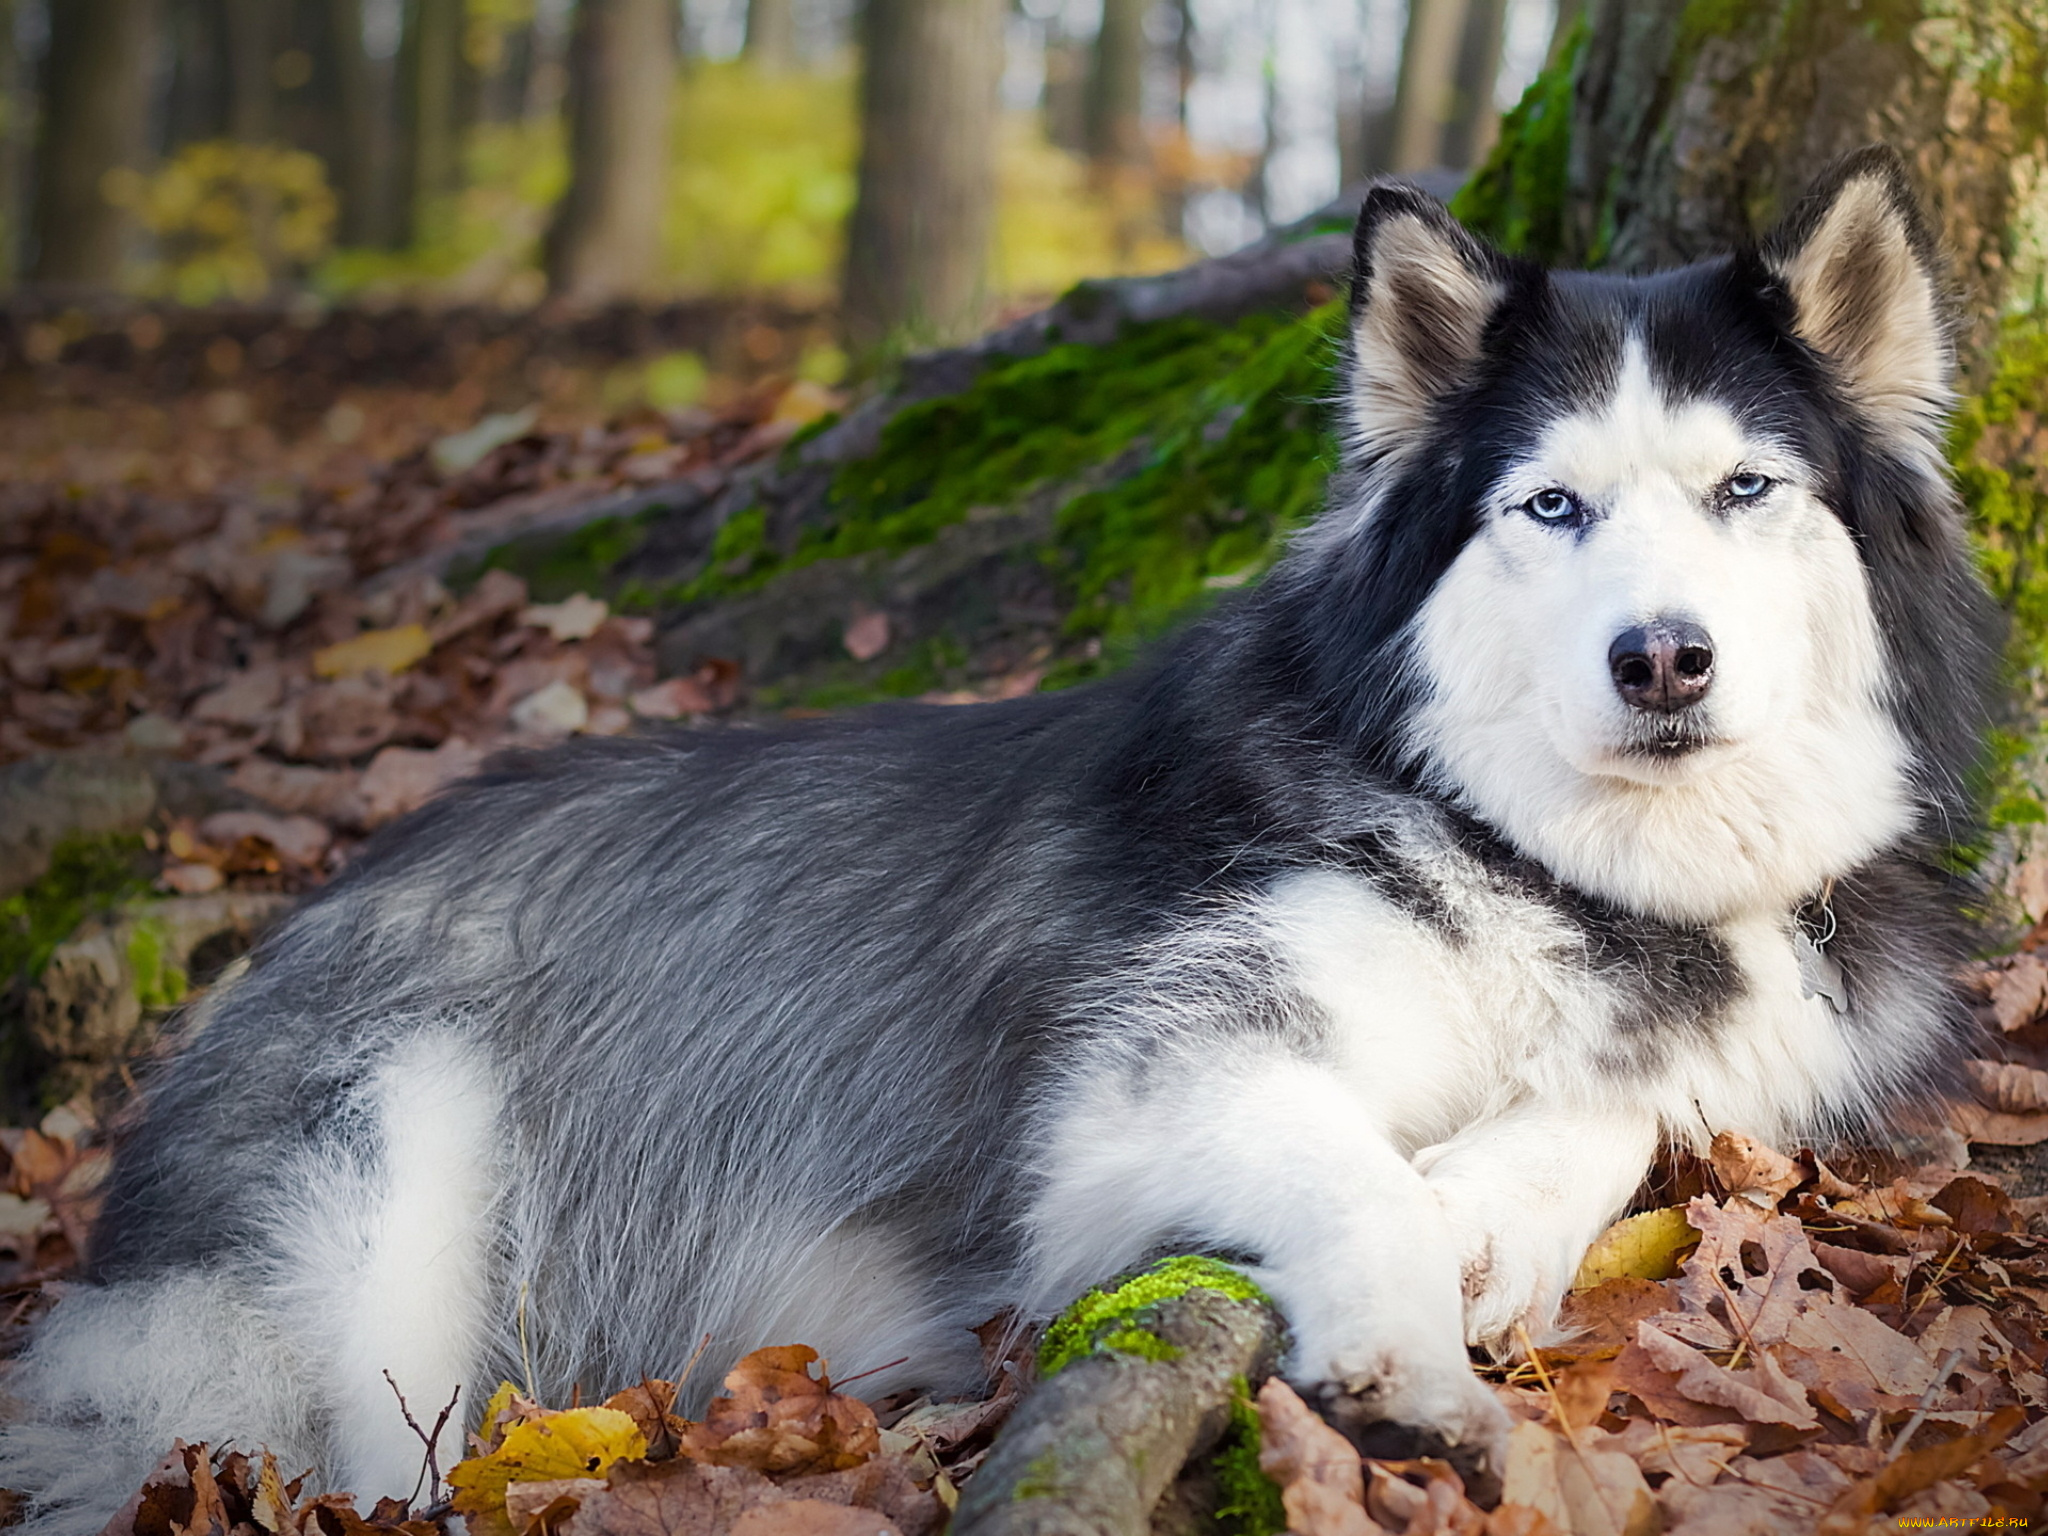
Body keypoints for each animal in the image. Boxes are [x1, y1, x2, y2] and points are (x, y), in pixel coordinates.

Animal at [0, 147, 1998, 1536]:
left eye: (1745, 488)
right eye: (1551, 507)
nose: (1660, 656)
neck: (1548, 862)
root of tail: (301, 913)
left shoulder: (1757, 1029)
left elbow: (1623, 1108)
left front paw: (1491, 1209)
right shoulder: (1133, 1092)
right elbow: (1348, 1164)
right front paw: (1414, 1349)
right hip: (368, 1219)